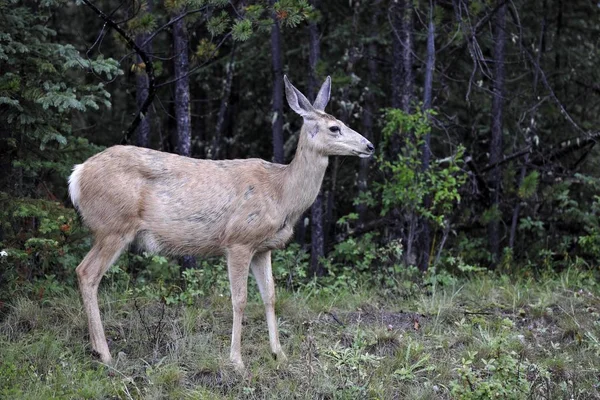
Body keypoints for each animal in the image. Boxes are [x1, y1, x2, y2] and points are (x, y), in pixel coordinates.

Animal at [69, 75, 370, 368]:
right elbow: (240, 299)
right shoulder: (238, 240)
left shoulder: (263, 248)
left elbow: (270, 297)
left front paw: (279, 354)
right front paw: (236, 360)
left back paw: (97, 349)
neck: (281, 193)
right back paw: (104, 354)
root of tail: (77, 174)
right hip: (113, 226)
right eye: (334, 128)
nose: (369, 145)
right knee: (86, 272)